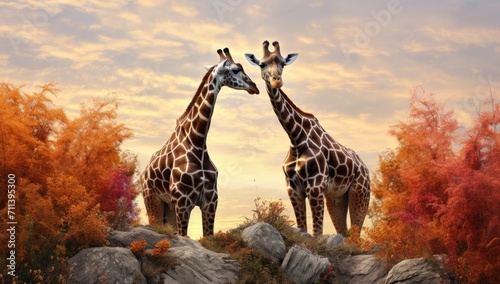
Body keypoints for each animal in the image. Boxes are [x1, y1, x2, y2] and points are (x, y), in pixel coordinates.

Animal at [140, 47, 260, 236]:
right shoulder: (183, 201)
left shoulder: (211, 201)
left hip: (169, 206)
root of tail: (143, 174)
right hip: (152, 200)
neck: (197, 141)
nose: (254, 86)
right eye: (235, 70)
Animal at [244, 40, 370, 235]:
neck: (295, 138)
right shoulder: (293, 189)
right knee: (344, 232)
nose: (277, 81)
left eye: (283, 63)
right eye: (262, 64)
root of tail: (366, 169)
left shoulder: (315, 186)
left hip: (360, 192)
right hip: (337, 197)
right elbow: (303, 230)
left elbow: (317, 234)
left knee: (356, 234)